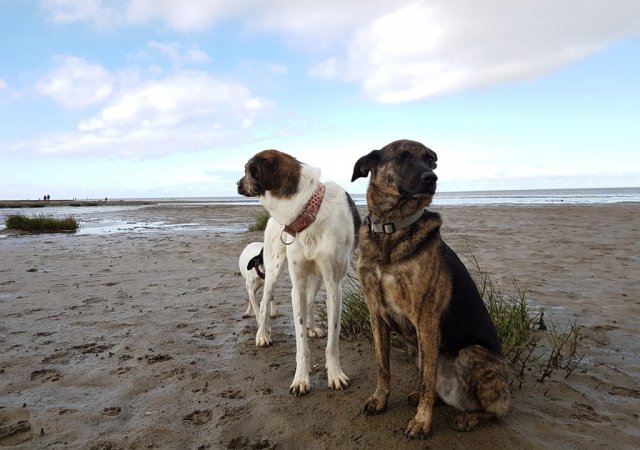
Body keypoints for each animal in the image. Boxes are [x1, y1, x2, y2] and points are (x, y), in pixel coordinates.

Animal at [239, 150, 362, 394]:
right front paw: (301, 379)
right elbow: (300, 344)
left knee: (311, 302)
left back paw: (312, 327)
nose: (237, 183)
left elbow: (332, 341)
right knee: (264, 304)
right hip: (273, 271)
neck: (307, 212)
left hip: (316, 279)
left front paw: (335, 374)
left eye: (248, 170)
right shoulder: (297, 287)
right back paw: (262, 334)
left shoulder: (333, 285)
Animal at [350, 140, 510, 440]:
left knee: (497, 410)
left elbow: (425, 381)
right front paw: (380, 400)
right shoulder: (376, 313)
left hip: (469, 355)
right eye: (401, 157)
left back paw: (469, 417)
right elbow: (383, 366)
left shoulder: (425, 319)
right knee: (434, 384)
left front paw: (421, 422)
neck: (391, 229)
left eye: (430, 160)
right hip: (416, 350)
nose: (431, 178)